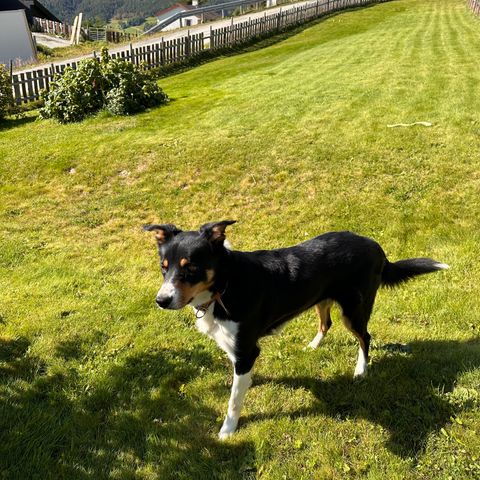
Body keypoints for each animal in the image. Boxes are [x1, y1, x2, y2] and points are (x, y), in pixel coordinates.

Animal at [142, 221, 446, 438]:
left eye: (191, 268)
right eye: (163, 267)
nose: (161, 300)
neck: (224, 287)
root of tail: (376, 246)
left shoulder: (247, 350)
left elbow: (233, 402)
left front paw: (227, 430)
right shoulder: (238, 351)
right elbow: (239, 382)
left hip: (354, 310)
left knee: (365, 337)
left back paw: (361, 370)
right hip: (321, 299)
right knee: (326, 323)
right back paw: (313, 346)